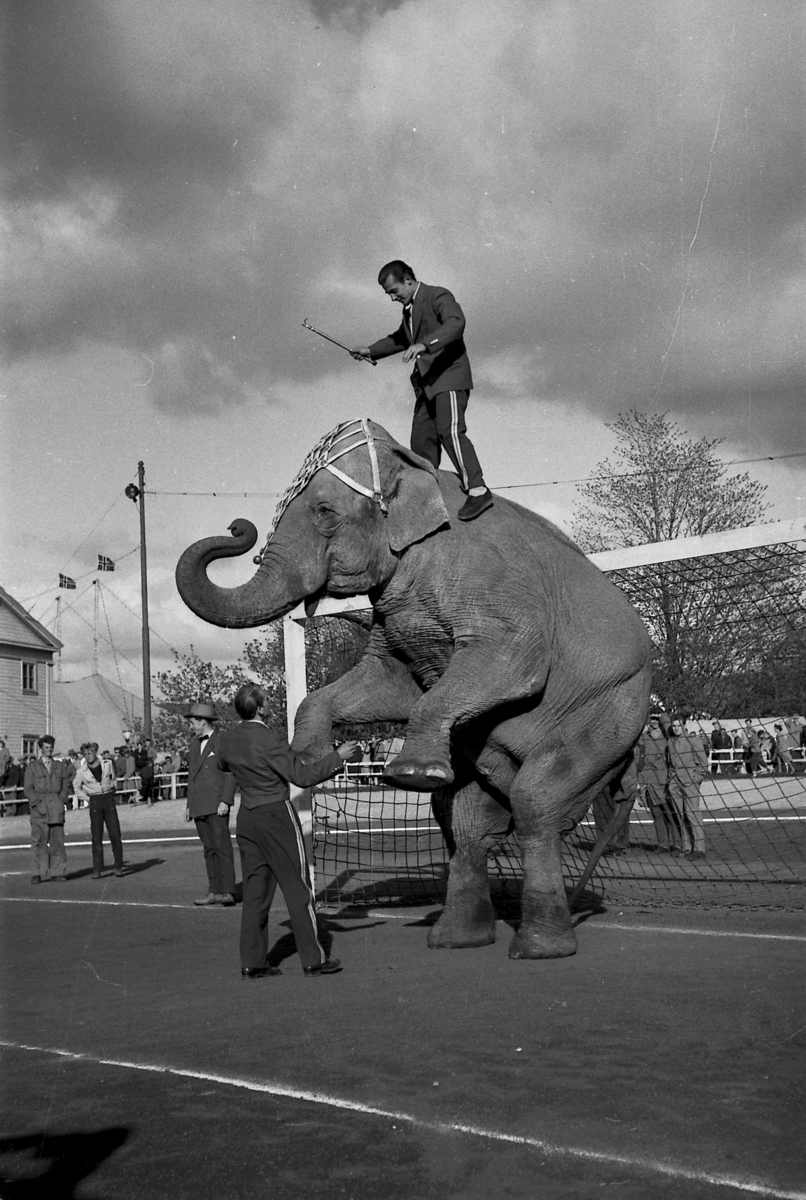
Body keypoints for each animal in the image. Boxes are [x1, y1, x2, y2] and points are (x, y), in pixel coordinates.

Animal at [177, 417, 652, 960]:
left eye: (324, 513)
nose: (238, 527)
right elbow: (386, 680)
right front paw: (310, 760)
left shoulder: (494, 583)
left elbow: (510, 662)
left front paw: (411, 773)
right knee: (465, 821)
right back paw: (454, 939)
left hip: (607, 713)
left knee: (537, 802)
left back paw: (537, 948)